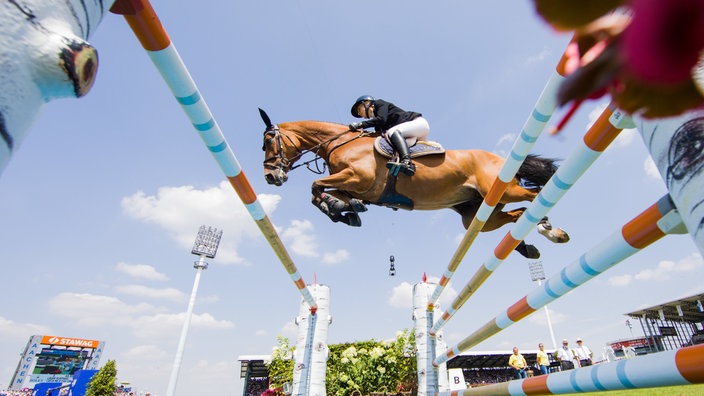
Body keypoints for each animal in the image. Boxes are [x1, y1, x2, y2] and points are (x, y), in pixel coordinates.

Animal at [258, 108, 568, 258]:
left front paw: (337, 209)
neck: (341, 143)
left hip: (506, 190)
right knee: (515, 215)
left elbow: (315, 187)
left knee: (534, 195)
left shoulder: (358, 177)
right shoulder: (359, 188)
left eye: (267, 142)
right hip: (478, 214)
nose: (270, 177)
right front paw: (345, 211)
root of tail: (502, 159)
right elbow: (325, 194)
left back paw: (550, 229)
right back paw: (530, 246)